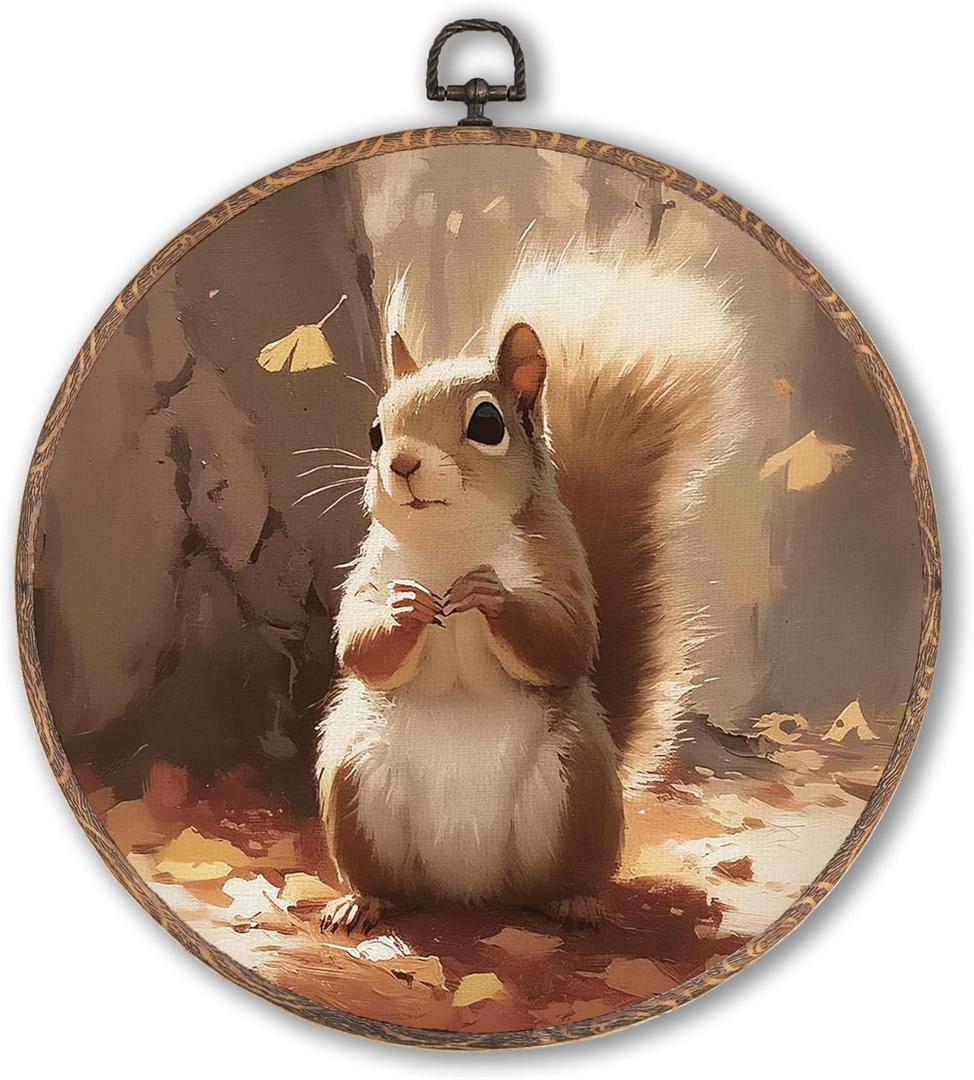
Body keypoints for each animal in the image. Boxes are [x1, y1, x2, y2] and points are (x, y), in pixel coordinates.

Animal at [315, 248, 744, 933]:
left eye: (487, 423)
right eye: (376, 431)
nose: (401, 463)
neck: (453, 544)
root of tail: (467, 890)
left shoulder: (560, 563)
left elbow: (567, 639)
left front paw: (492, 596)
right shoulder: (370, 569)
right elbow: (358, 642)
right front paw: (406, 611)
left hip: (575, 785)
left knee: (556, 880)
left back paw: (575, 901)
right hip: (356, 779)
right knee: (389, 881)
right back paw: (362, 901)